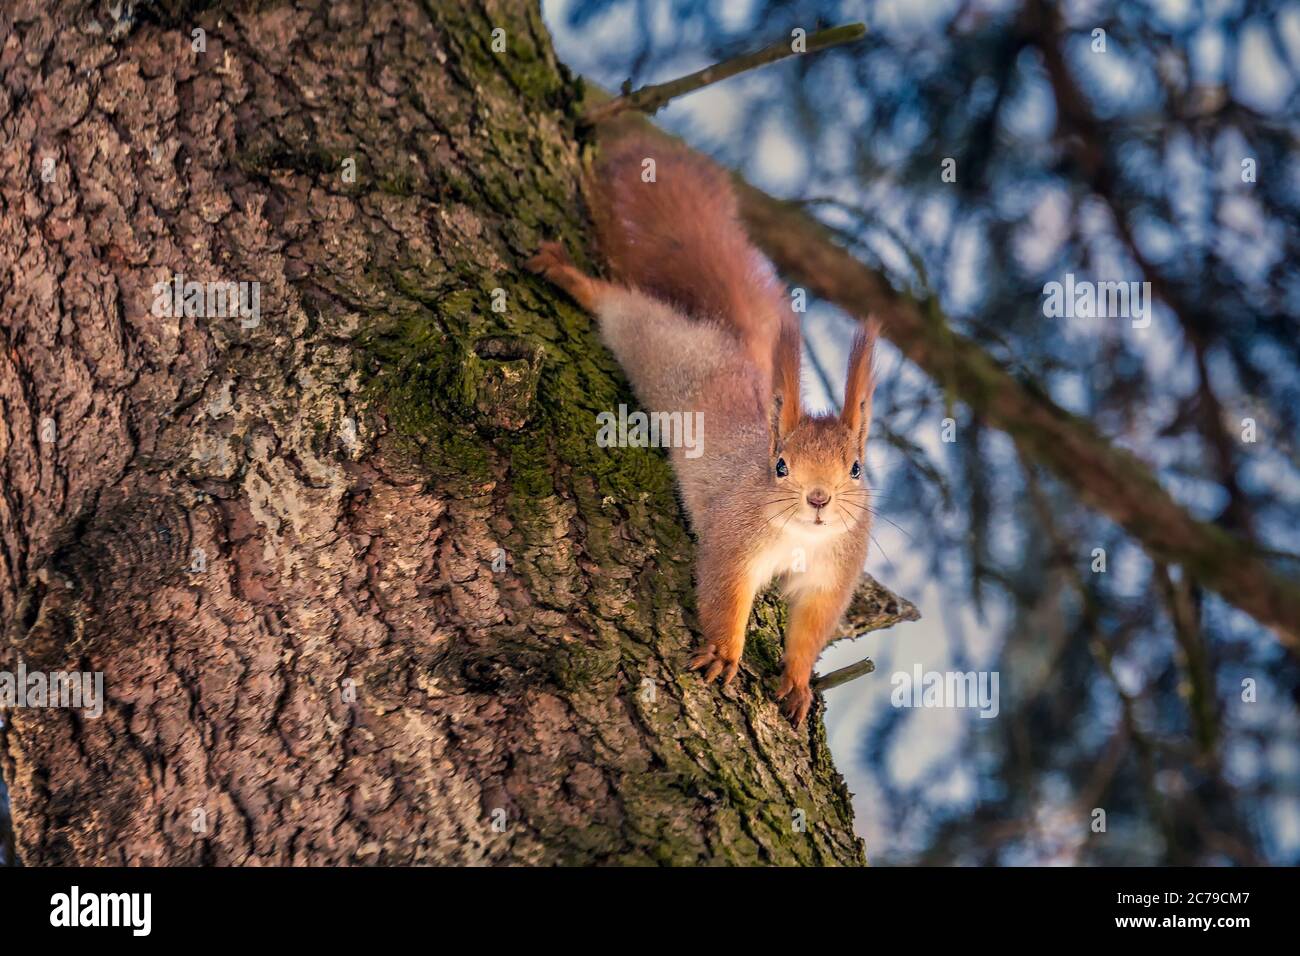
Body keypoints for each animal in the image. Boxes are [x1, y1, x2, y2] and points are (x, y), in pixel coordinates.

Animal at [522, 134, 878, 723]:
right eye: (781, 466)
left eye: (855, 468)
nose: (819, 499)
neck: (800, 537)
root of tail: (727, 343)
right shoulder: (735, 538)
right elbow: (723, 593)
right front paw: (723, 651)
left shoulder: (834, 573)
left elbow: (810, 629)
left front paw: (799, 681)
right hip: (655, 344)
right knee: (621, 307)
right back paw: (568, 274)